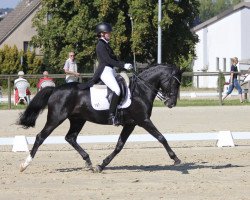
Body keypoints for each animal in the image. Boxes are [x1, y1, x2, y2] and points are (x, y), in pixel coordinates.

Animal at [17, 64, 182, 172]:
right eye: (174, 82)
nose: (171, 103)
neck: (140, 91)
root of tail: (55, 89)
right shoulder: (143, 120)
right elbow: (161, 137)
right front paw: (175, 159)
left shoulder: (131, 124)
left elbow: (119, 145)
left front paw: (101, 165)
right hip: (56, 118)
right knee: (41, 137)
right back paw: (25, 164)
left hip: (78, 120)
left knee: (70, 137)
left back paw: (89, 162)